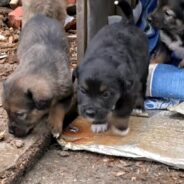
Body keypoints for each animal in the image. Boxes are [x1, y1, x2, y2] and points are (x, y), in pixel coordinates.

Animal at [73, 0, 150, 135]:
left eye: (106, 94)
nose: (89, 113)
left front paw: (120, 127)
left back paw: (139, 107)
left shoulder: (130, 90)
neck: (104, 55)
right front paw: (98, 123)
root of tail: (126, 22)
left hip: (144, 69)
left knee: (142, 87)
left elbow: (123, 110)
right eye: (83, 91)